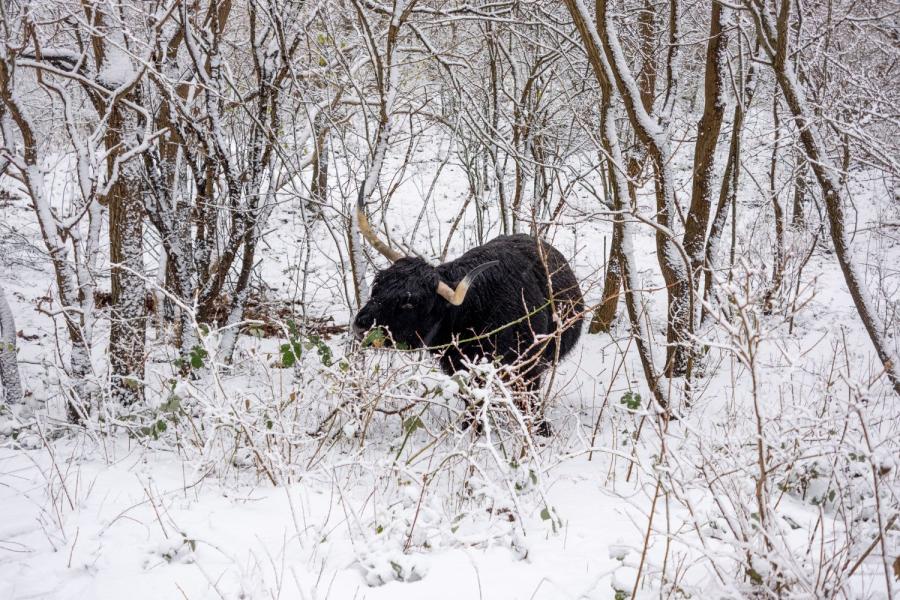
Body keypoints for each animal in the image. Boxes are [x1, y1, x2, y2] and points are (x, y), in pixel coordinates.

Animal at [351, 197, 584, 433]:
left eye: (409, 302)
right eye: (377, 286)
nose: (361, 324)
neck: (475, 314)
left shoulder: (527, 366)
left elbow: (528, 400)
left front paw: (540, 429)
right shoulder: (459, 367)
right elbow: (473, 400)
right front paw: (470, 427)